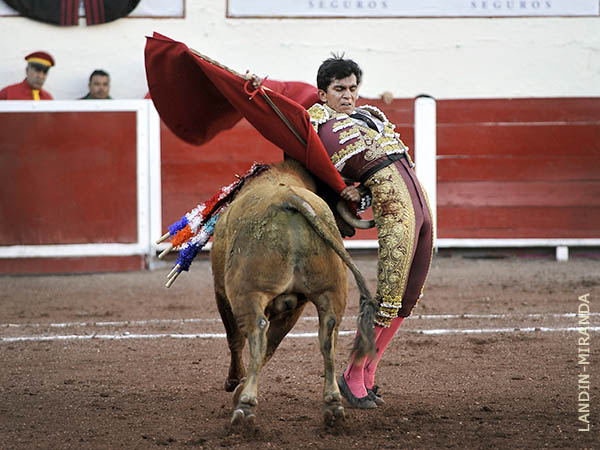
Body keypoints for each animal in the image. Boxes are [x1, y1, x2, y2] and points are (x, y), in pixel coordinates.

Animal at [211, 160, 376, 428]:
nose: (352, 228)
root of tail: (289, 197)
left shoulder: (221, 292)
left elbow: (237, 340)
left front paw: (235, 383)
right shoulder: (296, 306)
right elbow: (272, 345)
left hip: (248, 293)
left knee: (256, 334)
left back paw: (245, 407)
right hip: (330, 293)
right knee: (327, 339)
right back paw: (333, 406)